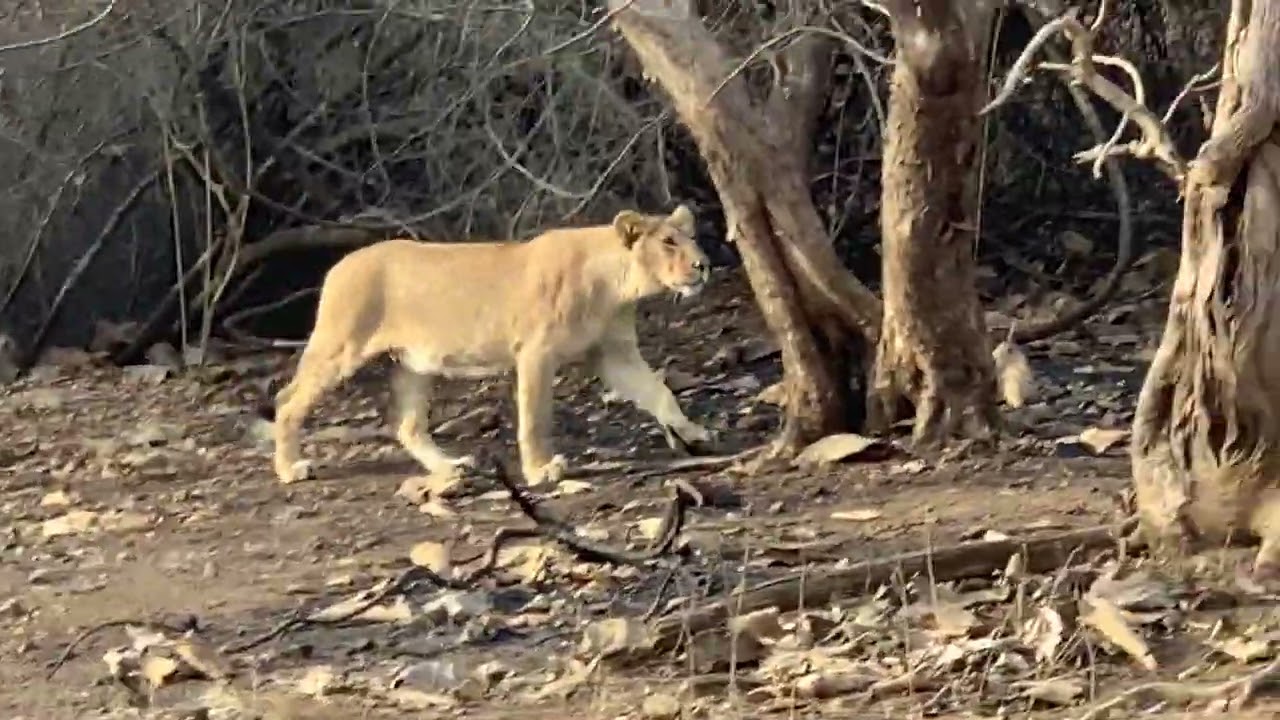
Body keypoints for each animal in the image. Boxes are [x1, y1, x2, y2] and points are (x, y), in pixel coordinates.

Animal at [271, 204, 717, 487]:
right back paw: (290, 469)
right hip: (341, 346)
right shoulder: (536, 352)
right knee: (287, 400)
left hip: (415, 364)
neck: (618, 286)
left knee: (408, 424)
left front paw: (693, 434)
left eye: (693, 238)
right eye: (668, 242)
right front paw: (540, 470)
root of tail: (340, 264)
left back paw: (451, 467)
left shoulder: (613, 354)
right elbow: (535, 419)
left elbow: (660, 393)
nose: (704, 265)